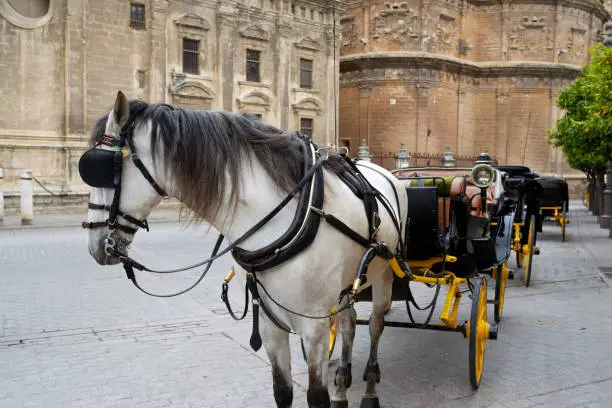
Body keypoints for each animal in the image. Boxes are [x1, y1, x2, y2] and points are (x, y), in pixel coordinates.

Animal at [81, 92, 406, 408]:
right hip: (347, 286)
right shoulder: (270, 325)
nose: (96, 244)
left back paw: (370, 391)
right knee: (349, 324)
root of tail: (383, 171)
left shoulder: (313, 328)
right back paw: (341, 387)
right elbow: (282, 392)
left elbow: (316, 397)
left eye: (96, 169)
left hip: (384, 276)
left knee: (375, 325)